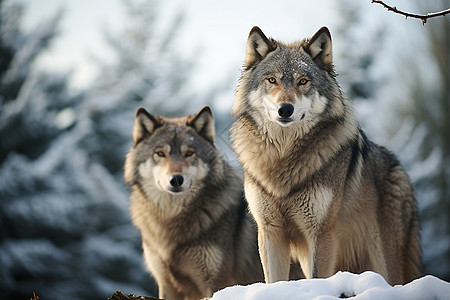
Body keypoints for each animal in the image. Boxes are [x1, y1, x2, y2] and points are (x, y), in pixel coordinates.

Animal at [123, 106, 264, 298]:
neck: (172, 218)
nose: (176, 179)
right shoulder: (166, 285)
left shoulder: (217, 282)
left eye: (189, 153)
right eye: (160, 153)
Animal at [230, 26, 424, 286]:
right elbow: (275, 281)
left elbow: (317, 276)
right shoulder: (271, 233)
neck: (283, 157)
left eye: (303, 81)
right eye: (272, 80)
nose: (285, 109)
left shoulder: (321, 233)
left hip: (385, 261)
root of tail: (400, 169)